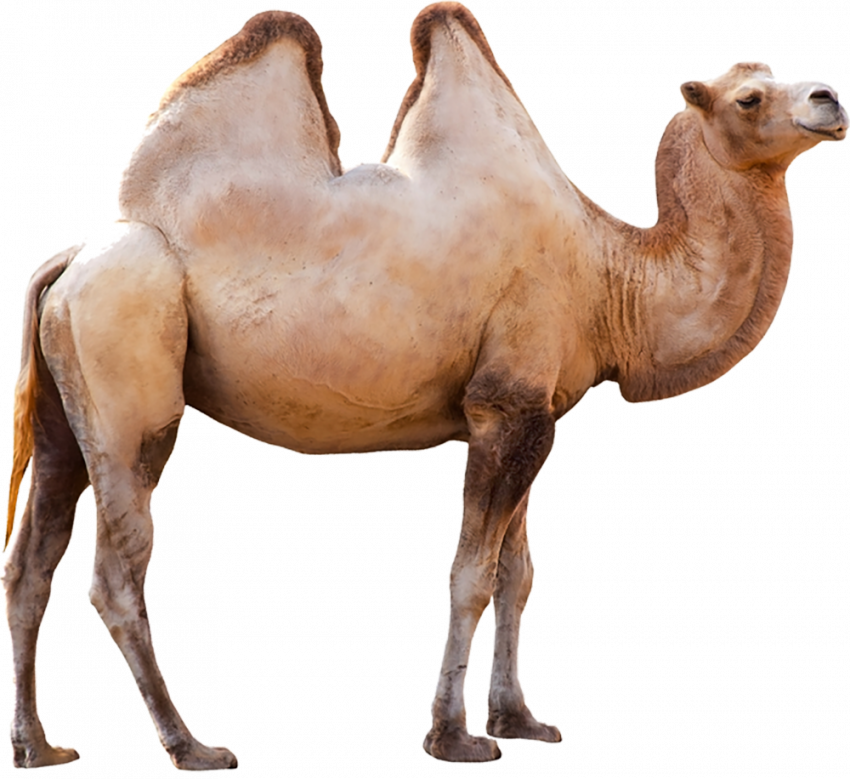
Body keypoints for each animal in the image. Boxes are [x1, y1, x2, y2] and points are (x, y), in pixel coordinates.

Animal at [2, 0, 847, 771]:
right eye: (749, 98)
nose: (828, 99)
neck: (611, 275)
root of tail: (70, 263)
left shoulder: (532, 408)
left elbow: (516, 574)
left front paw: (521, 721)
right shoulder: (504, 403)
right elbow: (473, 575)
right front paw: (456, 737)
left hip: (64, 416)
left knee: (29, 560)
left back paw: (39, 745)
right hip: (132, 389)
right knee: (115, 571)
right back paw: (191, 745)